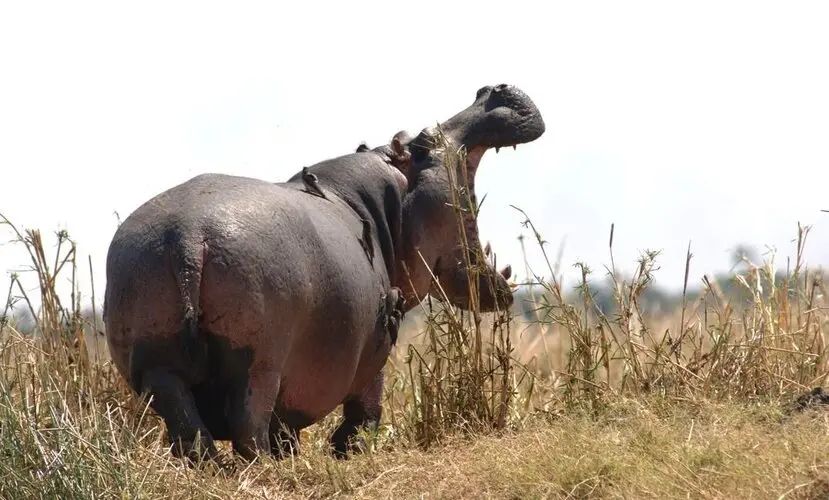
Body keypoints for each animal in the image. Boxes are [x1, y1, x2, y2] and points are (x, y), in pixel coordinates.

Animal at [102, 83, 544, 464]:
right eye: (422, 141)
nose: (492, 89)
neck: (383, 200)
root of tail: (187, 236)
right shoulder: (376, 345)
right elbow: (368, 404)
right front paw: (348, 450)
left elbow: (289, 428)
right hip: (258, 363)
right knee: (248, 425)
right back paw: (264, 468)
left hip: (155, 364)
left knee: (188, 426)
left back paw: (208, 467)